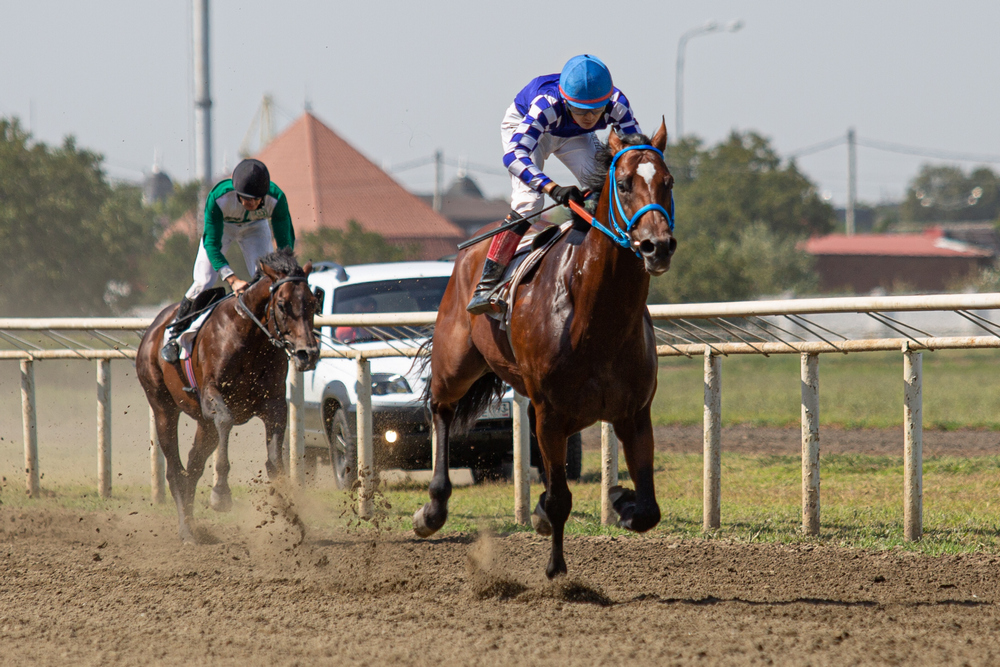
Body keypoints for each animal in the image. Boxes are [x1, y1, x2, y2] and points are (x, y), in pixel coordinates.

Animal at [135, 249, 318, 544]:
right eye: (282, 304)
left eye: (314, 303)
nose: (307, 354)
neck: (249, 334)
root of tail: (153, 330)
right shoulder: (212, 395)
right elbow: (225, 420)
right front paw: (220, 493)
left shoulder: (274, 404)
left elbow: (274, 459)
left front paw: (290, 511)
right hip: (162, 406)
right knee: (175, 470)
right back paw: (186, 531)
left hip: (202, 424)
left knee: (193, 465)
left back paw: (192, 523)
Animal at [410, 121, 676, 580]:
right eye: (624, 183)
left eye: (668, 182)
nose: (656, 246)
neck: (595, 318)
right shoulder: (551, 414)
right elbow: (559, 500)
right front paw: (555, 570)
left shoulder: (634, 414)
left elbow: (648, 510)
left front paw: (621, 500)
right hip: (456, 363)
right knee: (441, 409)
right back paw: (432, 509)